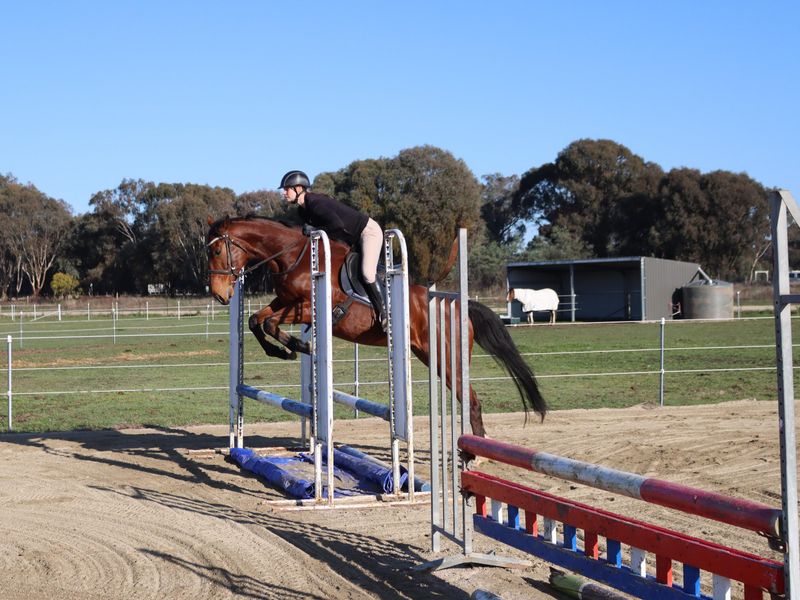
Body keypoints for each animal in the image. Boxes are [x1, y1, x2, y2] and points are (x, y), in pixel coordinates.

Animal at [206, 215, 546, 437]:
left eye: (217, 250)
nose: (220, 295)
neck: (294, 255)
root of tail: (458, 305)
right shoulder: (285, 300)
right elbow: (256, 319)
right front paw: (284, 351)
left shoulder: (309, 308)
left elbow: (271, 322)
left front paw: (300, 346)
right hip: (429, 356)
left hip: (448, 360)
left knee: (472, 401)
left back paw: (475, 454)